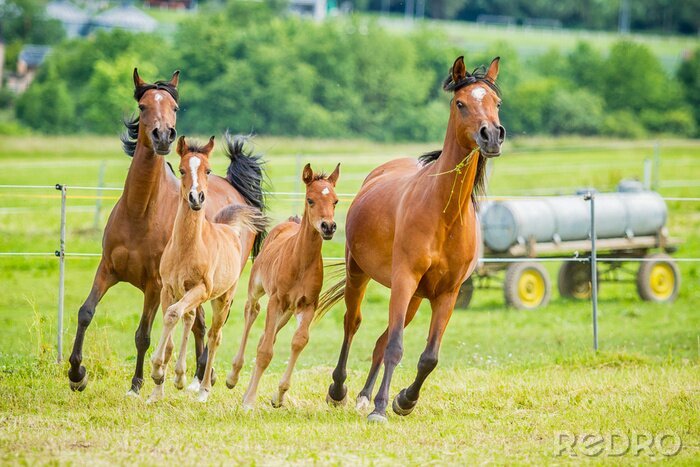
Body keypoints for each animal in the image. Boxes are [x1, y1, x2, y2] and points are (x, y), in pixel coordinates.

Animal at [148, 134, 268, 402]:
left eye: (208, 170)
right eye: (181, 169)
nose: (196, 198)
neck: (187, 247)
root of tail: (229, 229)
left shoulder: (202, 289)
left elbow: (174, 315)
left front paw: (158, 369)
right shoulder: (168, 289)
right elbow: (171, 320)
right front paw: (157, 388)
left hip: (223, 298)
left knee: (214, 336)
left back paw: (203, 390)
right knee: (191, 319)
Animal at [226, 163, 340, 412]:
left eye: (335, 201)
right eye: (310, 199)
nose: (328, 226)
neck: (300, 262)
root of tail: (290, 221)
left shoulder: (308, 305)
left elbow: (298, 341)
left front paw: (278, 396)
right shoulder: (275, 300)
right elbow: (265, 351)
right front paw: (249, 402)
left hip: (287, 312)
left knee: (266, 336)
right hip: (258, 290)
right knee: (251, 313)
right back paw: (233, 377)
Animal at [320, 56, 506, 422]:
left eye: (496, 103)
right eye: (461, 103)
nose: (491, 135)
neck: (443, 215)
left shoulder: (447, 293)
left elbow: (428, 357)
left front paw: (404, 400)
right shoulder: (404, 280)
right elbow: (395, 347)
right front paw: (381, 408)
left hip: (416, 299)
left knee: (379, 341)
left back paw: (365, 395)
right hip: (360, 275)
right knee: (353, 325)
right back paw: (340, 391)